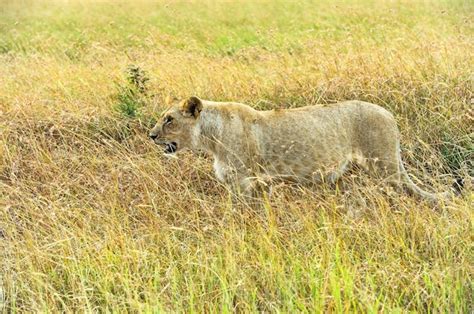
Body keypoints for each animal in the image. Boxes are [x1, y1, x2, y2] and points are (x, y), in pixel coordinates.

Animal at [150, 97, 454, 202]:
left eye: (169, 119)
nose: (150, 135)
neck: (211, 138)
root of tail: (389, 114)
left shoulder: (244, 183)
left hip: (385, 165)